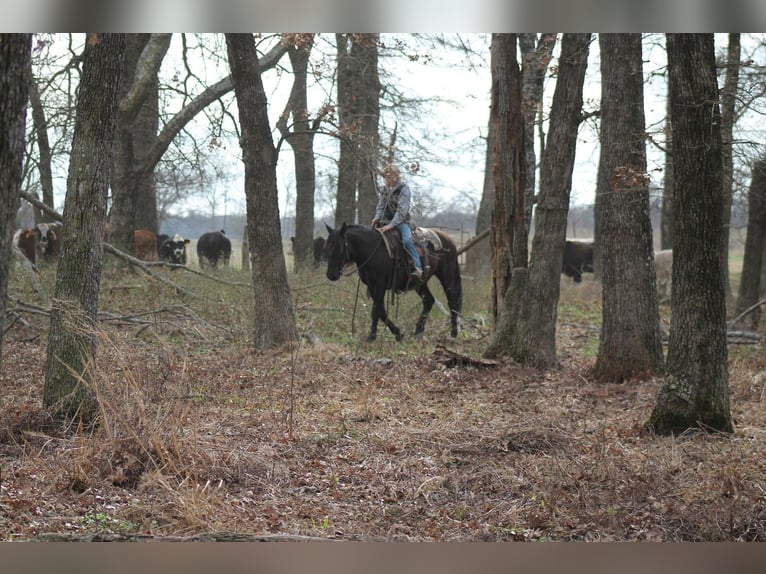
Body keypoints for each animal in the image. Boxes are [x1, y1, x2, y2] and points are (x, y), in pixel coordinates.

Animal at [324, 223, 463, 342]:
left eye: (339, 247)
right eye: (327, 247)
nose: (331, 275)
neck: (372, 250)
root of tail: (447, 239)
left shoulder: (379, 285)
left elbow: (376, 310)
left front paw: (372, 337)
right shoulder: (372, 286)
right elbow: (380, 310)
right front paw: (398, 333)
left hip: (447, 276)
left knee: (452, 302)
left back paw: (453, 333)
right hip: (420, 283)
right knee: (428, 300)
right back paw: (418, 331)